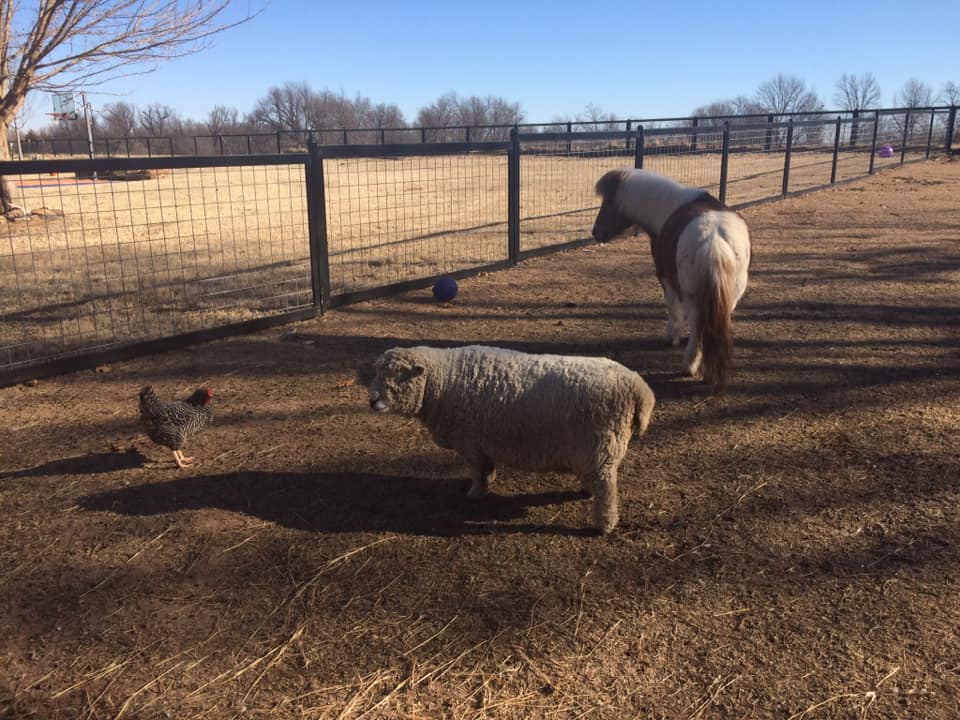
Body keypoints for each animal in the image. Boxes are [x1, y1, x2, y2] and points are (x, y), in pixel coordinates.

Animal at [364, 344, 656, 536]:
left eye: (399, 375)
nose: (372, 400)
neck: (443, 382)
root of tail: (638, 388)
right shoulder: (481, 442)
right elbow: (486, 468)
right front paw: (488, 482)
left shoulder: (470, 443)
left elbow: (478, 472)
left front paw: (476, 493)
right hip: (593, 449)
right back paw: (587, 490)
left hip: (602, 446)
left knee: (607, 489)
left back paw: (604, 524)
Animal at [588, 167, 752, 394]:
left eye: (609, 201)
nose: (596, 232)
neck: (669, 207)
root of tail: (714, 238)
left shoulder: (665, 278)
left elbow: (673, 308)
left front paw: (671, 336)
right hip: (730, 297)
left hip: (694, 297)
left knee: (697, 326)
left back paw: (690, 365)